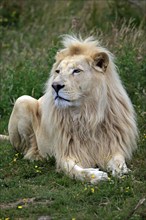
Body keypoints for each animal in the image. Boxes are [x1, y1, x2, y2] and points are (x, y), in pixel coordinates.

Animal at [4, 35, 138, 184]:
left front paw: (122, 172)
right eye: (58, 71)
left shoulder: (113, 146)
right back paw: (36, 156)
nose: (55, 86)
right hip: (22, 100)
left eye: (76, 71)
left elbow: (119, 161)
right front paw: (95, 175)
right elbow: (73, 169)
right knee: (27, 149)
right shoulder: (65, 152)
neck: (87, 114)